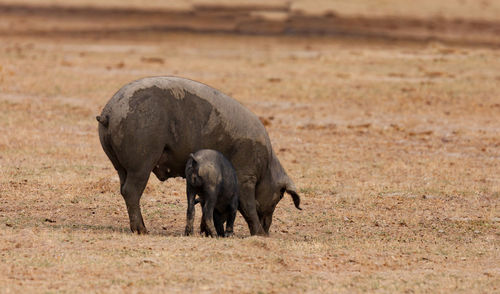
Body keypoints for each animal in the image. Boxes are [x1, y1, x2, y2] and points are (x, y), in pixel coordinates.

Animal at [97, 76, 300, 237]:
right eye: (279, 197)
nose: (268, 231)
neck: (266, 168)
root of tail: (109, 112)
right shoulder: (245, 175)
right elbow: (248, 206)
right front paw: (259, 235)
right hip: (142, 159)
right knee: (131, 190)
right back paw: (142, 230)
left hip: (119, 164)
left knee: (123, 187)